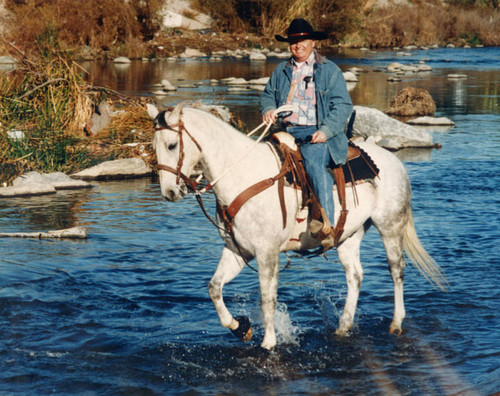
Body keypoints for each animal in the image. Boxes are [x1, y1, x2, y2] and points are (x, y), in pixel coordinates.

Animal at [147, 103, 446, 350]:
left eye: (172, 145)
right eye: (154, 145)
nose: (169, 192)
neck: (243, 175)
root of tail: (394, 161)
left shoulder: (267, 253)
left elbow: (267, 299)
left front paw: (268, 343)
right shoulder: (237, 251)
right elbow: (214, 288)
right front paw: (240, 328)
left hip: (390, 226)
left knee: (397, 270)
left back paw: (396, 323)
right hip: (349, 236)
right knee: (355, 276)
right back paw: (343, 326)